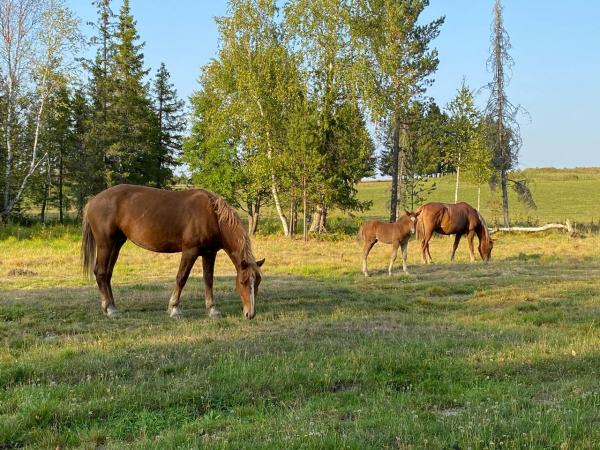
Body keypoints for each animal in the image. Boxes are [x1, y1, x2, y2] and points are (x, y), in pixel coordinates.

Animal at [81, 185, 264, 320]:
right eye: (243, 282)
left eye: (257, 282)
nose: (250, 314)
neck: (212, 214)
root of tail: (93, 200)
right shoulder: (190, 251)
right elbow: (181, 278)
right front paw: (174, 308)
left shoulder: (209, 253)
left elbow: (208, 280)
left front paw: (212, 310)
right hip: (105, 244)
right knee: (101, 272)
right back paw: (109, 309)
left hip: (116, 244)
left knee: (107, 274)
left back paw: (111, 306)